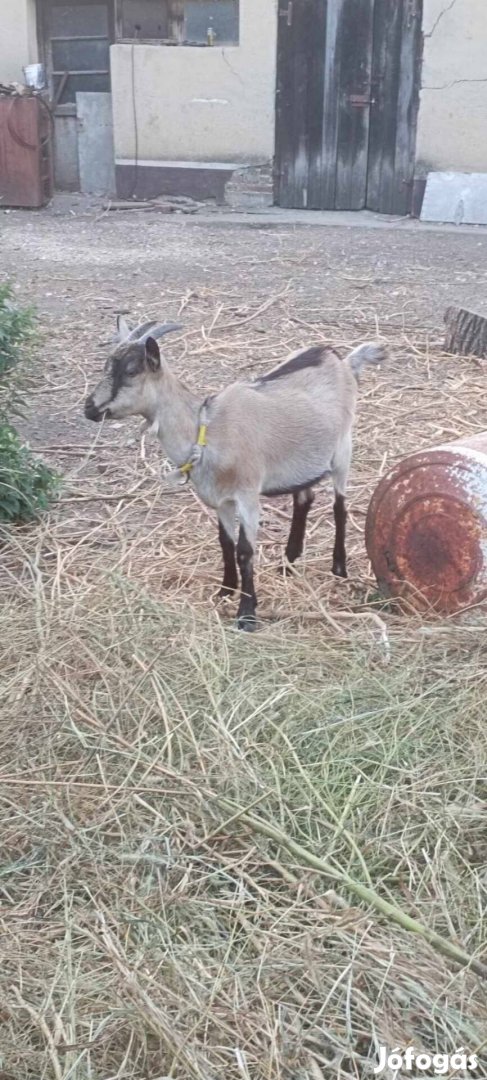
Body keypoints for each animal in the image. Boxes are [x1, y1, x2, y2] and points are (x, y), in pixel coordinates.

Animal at [85, 315, 386, 630]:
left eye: (131, 371)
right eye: (107, 365)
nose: (89, 408)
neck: (207, 430)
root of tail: (341, 360)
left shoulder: (247, 494)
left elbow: (244, 550)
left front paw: (247, 614)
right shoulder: (221, 500)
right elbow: (225, 542)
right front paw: (225, 589)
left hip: (342, 449)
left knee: (340, 506)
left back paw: (338, 567)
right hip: (302, 459)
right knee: (304, 499)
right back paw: (288, 563)